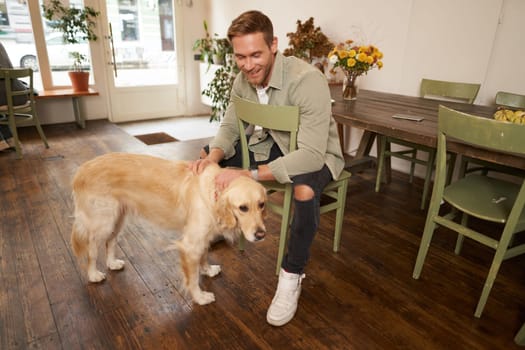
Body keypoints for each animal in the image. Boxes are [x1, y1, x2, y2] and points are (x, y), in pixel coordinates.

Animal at [69, 152, 266, 304]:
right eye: (243, 208)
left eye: (262, 204)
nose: (261, 235)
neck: (213, 192)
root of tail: (81, 169)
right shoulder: (190, 245)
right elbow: (192, 278)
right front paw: (200, 297)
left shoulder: (202, 238)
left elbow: (204, 256)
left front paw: (208, 270)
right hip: (103, 222)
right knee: (92, 250)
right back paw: (93, 274)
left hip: (117, 219)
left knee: (110, 241)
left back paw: (112, 263)